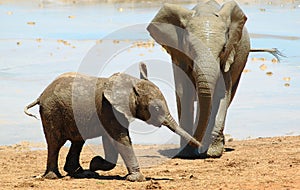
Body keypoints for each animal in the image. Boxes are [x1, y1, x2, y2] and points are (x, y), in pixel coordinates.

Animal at [24, 67, 200, 181]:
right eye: (156, 108)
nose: (200, 146)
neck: (131, 84)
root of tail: (41, 95)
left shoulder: (111, 112)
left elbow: (111, 140)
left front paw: (95, 164)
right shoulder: (108, 109)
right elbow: (120, 139)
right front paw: (136, 179)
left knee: (77, 141)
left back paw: (83, 173)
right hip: (52, 112)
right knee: (55, 143)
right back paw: (54, 177)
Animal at [146, 0, 250, 158]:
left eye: (223, 49)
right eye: (189, 48)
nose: (199, 147)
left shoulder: (227, 59)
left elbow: (222, 95)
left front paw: (213, 152)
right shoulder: (179, 56)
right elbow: (185, 93)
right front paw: (187, 153)